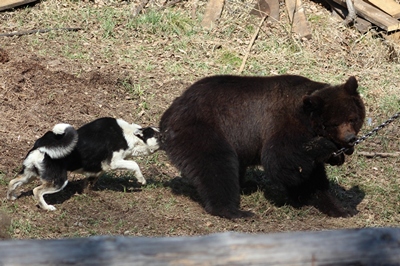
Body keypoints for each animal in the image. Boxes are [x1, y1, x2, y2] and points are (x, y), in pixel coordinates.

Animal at [7, 117, 159, 211]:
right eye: (158, 136)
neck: (129, 135)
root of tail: (41, 146)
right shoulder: (114, 162)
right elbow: (134, 164)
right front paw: (141, 180)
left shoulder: (96, 170)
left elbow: (90, 183)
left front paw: (87, 193)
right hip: (59, 181)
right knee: (37, 191)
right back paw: (47, 207)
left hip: (29, 175)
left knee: (12, 182)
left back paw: (10, 197)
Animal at [159, 74, 366, 218]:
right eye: (334, 123)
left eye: (352, 118)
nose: (350, 139)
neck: (308, 123)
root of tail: (169, 113)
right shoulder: (283, 124)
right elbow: (280, 161)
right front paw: (328, 148)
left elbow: (313, 178)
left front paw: (342, 209)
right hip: (203, 129)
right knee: (216, 166)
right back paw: (233, 210)